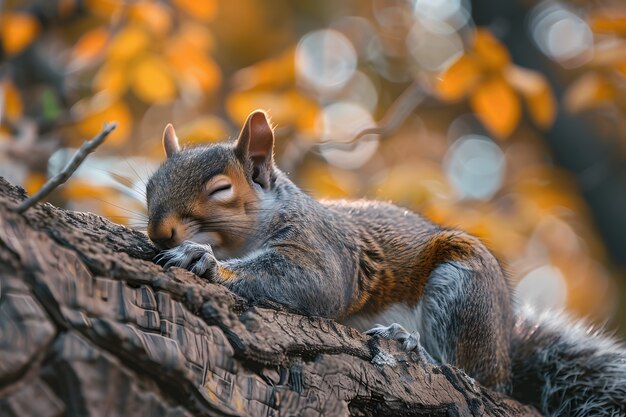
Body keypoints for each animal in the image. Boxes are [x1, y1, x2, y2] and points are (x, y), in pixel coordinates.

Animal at [145, 109, 624, 414]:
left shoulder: (325, 251)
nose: (159, 231)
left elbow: (310, 280)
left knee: (471, 374)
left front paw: (206, 260)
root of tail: (507, 347)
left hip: (464, 291)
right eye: (150, 186)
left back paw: (411, 344)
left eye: (221, 189)